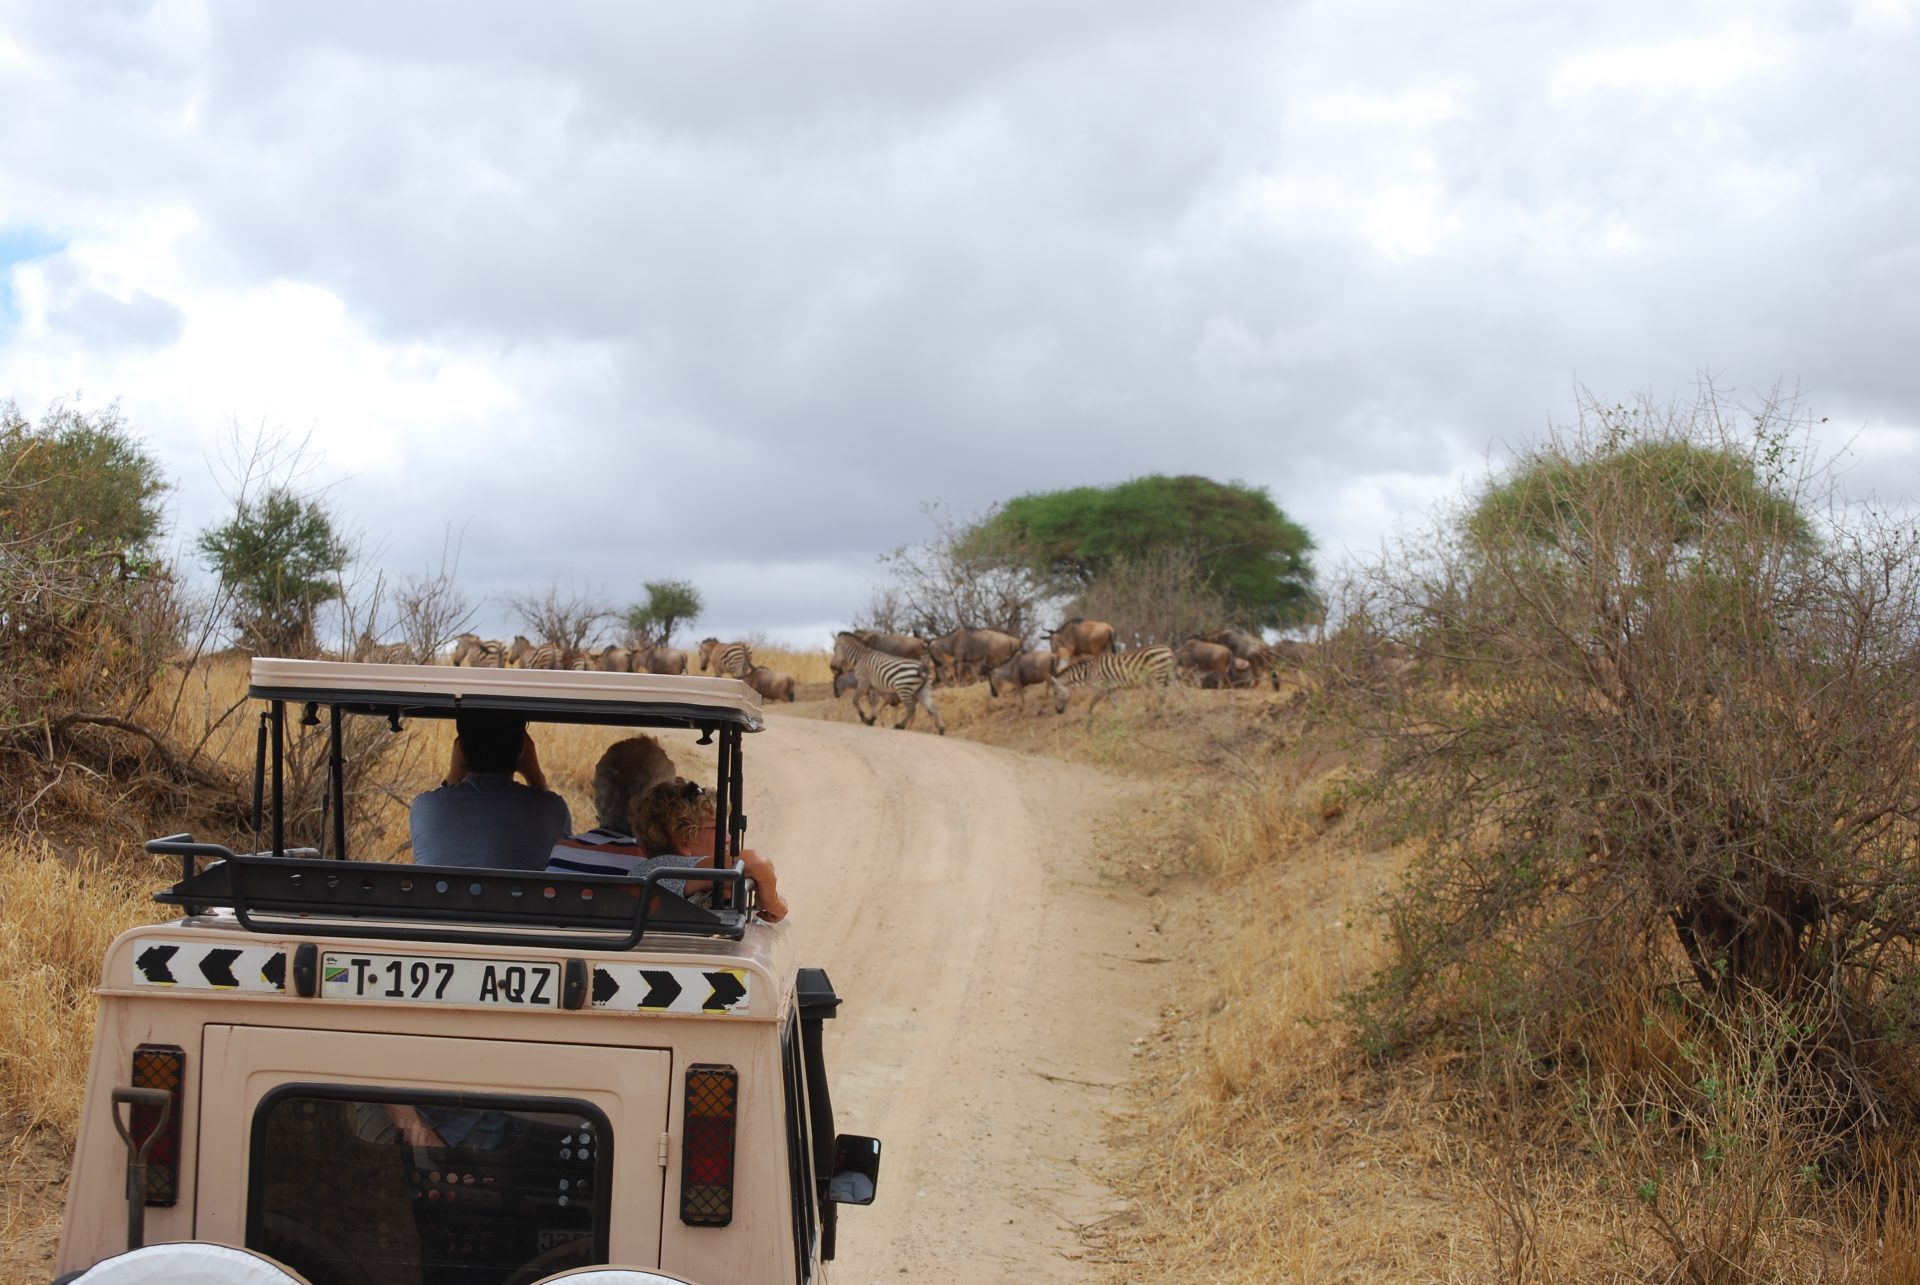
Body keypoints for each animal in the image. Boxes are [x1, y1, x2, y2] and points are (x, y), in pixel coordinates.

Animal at [1044, 641, 1175, 710]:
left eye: (1055, 693)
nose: (1058, 711)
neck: (1087, 673)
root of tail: (1167, 648)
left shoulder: (1103, 687)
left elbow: (1091, 705)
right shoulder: (1112, 688)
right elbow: (1115, 705)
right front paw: (1118, 720)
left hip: (1158, 676)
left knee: (1163, 696)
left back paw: (1159, 714)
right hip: (1166, 676)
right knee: (1173, 693)